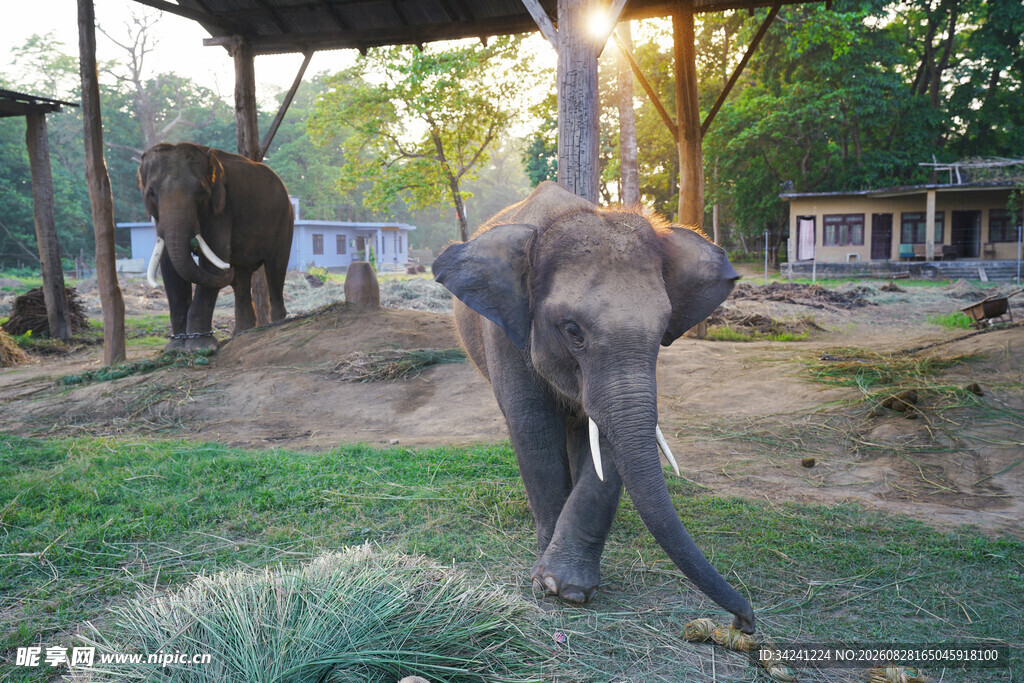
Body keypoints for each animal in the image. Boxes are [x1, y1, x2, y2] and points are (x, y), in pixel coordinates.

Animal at [137, 142, 294, 351]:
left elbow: (213, 260)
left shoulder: (221, 209)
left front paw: (199, 347)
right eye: (152, 194)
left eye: (201, 193)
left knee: (275, 268)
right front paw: (175, 348)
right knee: (242, 279)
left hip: (285, 219)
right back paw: (241, 333)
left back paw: (277, 323)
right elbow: (169, 267)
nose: (229, 268)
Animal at [433, 181, 754, 633]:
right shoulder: (505, 336)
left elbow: (605, 446)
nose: (743, 622)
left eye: (663, 330)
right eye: (572, 331)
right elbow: (533, 430)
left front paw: (568, 586)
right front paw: (551, 585)